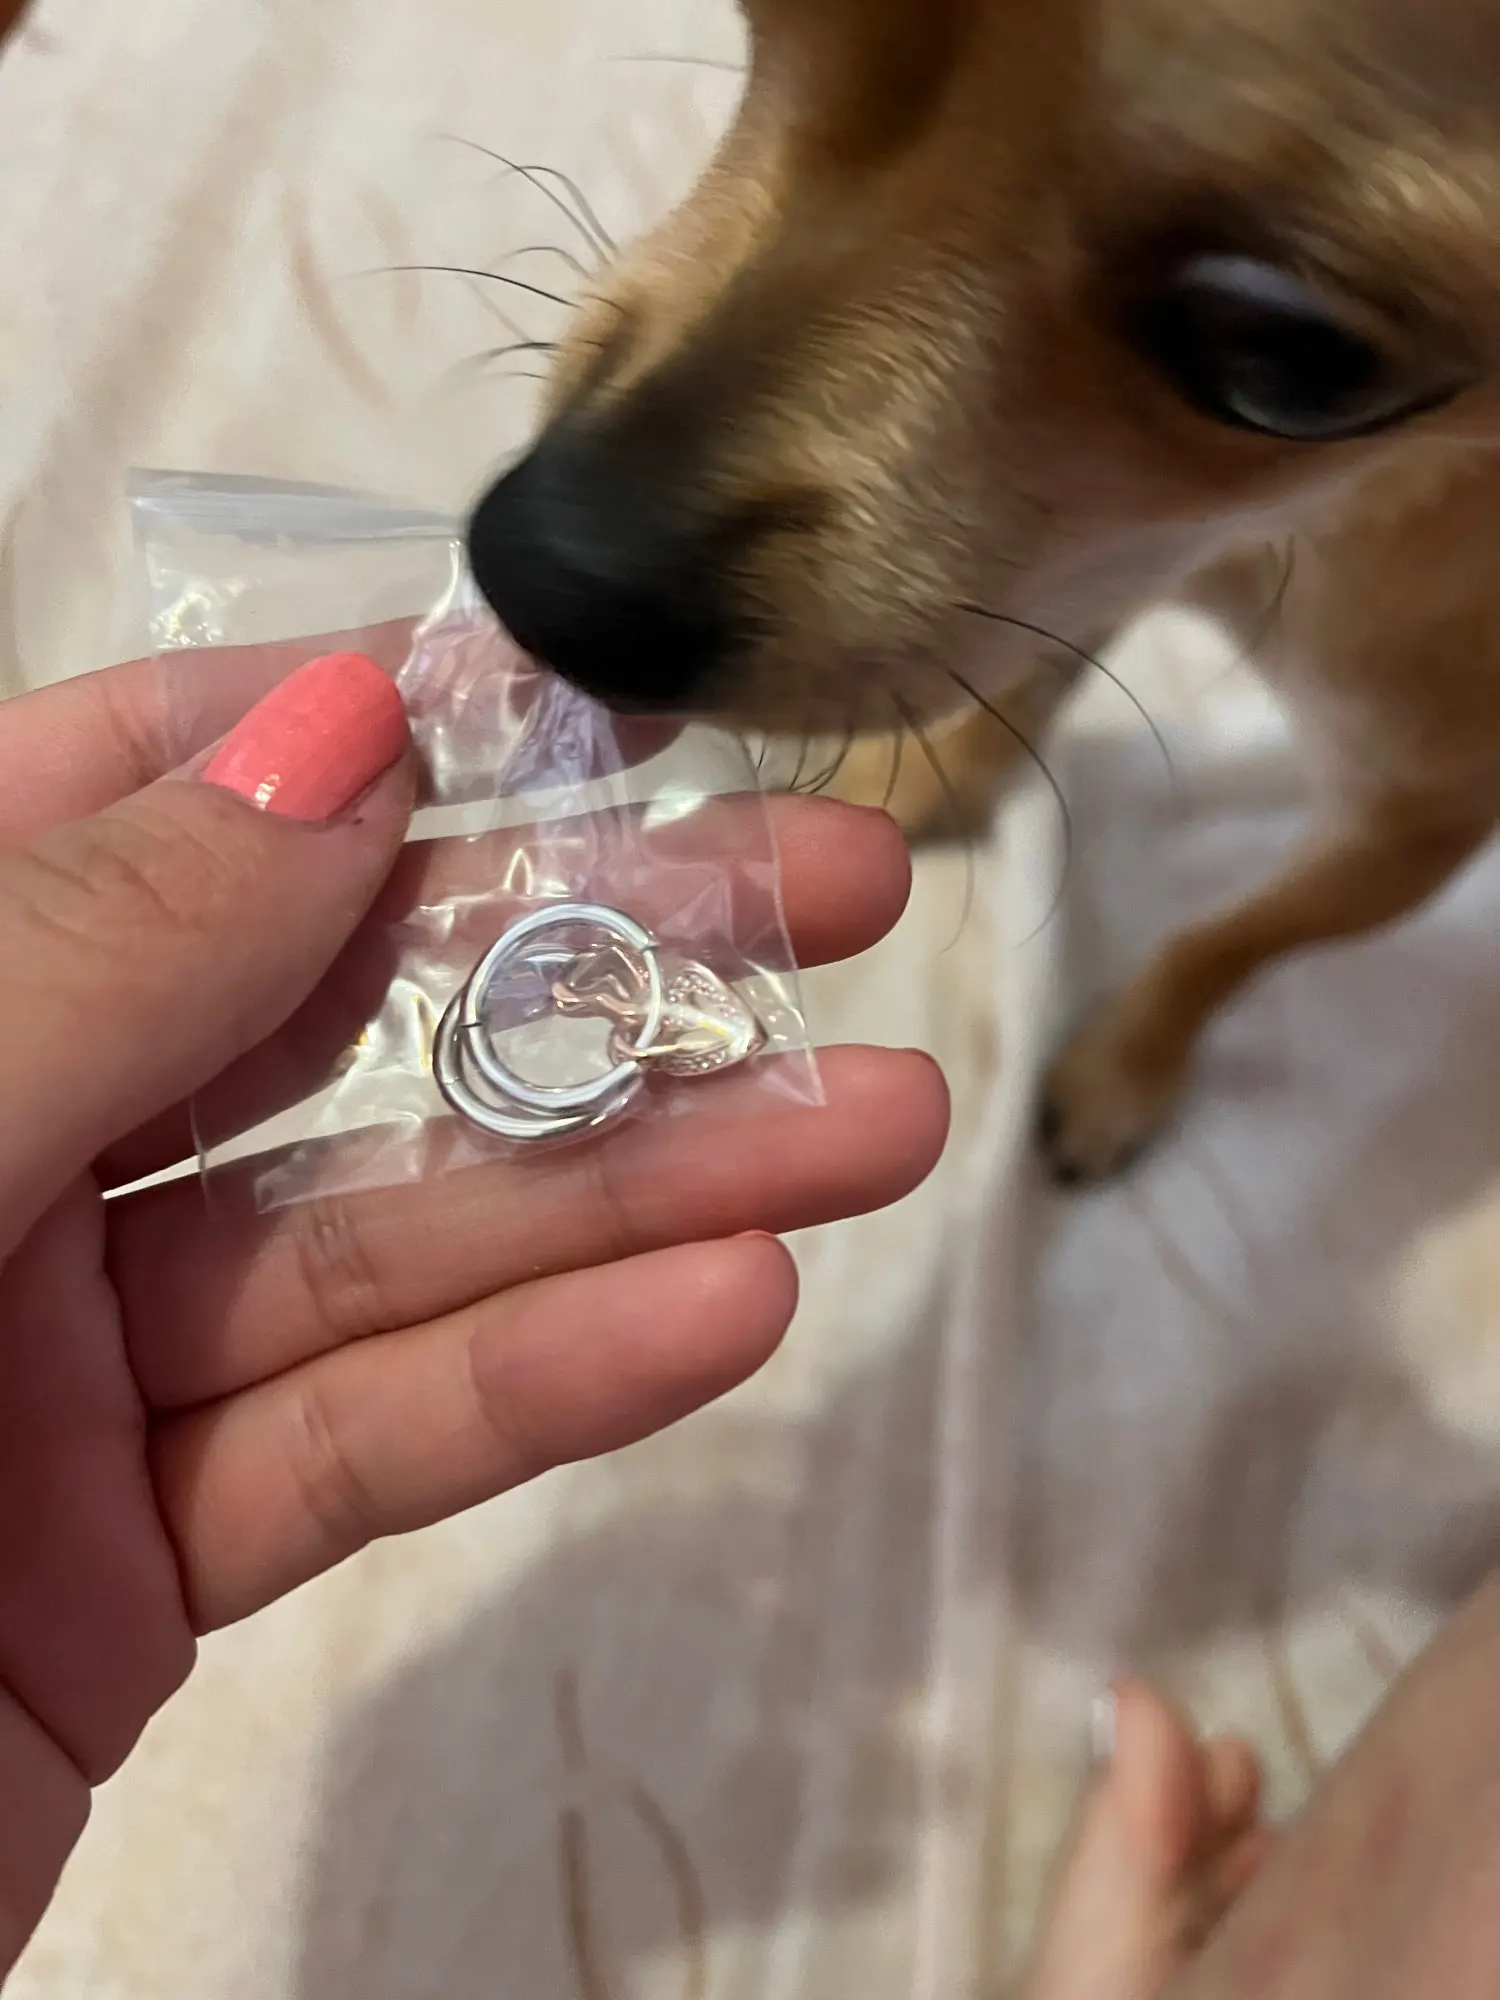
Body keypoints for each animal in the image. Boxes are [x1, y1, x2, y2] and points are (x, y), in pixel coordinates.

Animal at [467, 0, 1500, 1183]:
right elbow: (1020, 669)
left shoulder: (1416, 818)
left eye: (1289, 356)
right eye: (750, 25)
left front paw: (1123, 1068)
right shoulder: (1101, 554)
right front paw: (918, 784)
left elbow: (1233, 939)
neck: (1327, 514)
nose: (542, 568)